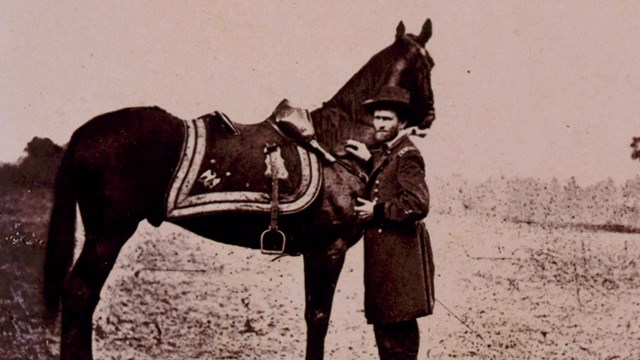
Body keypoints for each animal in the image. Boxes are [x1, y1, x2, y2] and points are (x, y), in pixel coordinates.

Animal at [43, 19, 436, 360]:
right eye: (427, 65)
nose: (430, 116)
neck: (333, 143)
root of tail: (86, 131)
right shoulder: (328, 249)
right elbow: (318, 318)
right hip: (108, 233)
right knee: (80, 294)